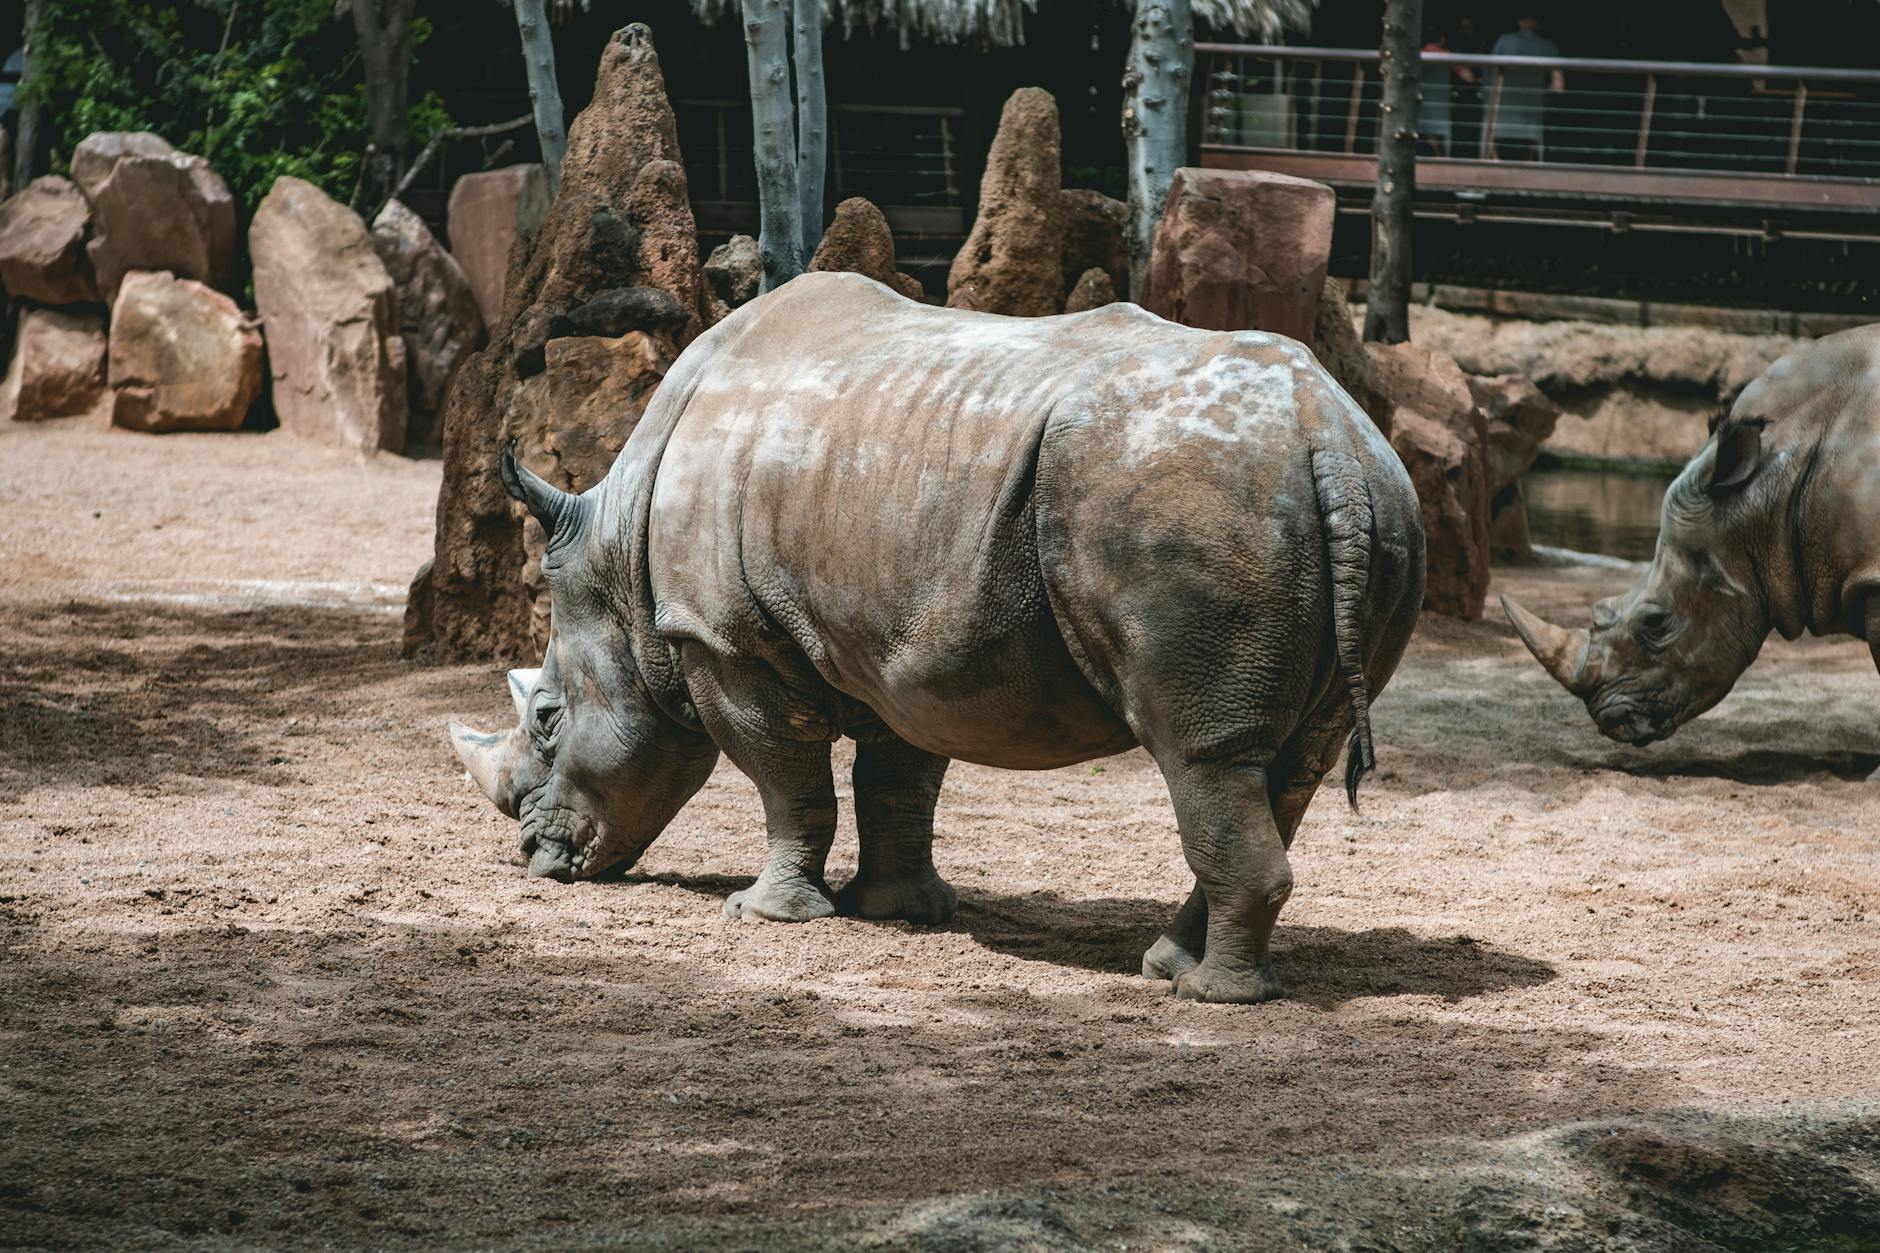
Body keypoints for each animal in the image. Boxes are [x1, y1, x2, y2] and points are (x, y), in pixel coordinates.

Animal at [449, 272, 1424, 1003]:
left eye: (545, 716)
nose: (533, 856)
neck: (621, 559)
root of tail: (1329, 434)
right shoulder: (896, 646)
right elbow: (898, 781)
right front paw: (901, 911)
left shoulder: (722, 640)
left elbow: (786, 782)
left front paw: (763, 915)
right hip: (1380, 510)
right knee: (1288, 763)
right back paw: (1168, 965)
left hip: (1185, 505)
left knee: (1200, 753)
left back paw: (1209, 996)